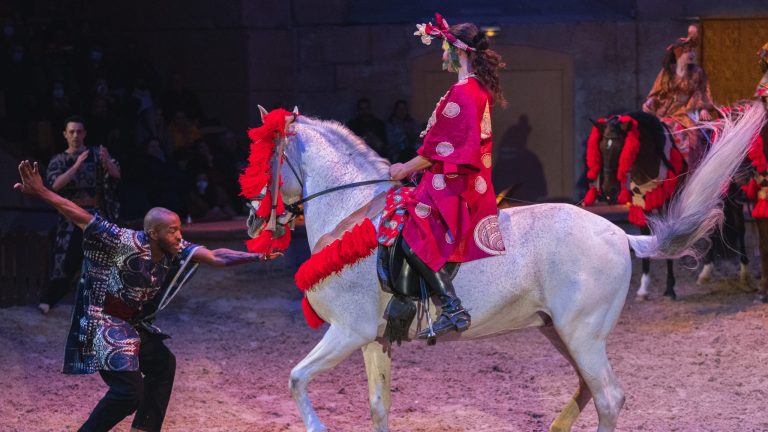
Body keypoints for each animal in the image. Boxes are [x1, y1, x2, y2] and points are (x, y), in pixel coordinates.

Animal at [249, 103, 764, 430]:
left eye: (265, 160)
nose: (255, 217)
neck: (353, 212)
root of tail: (620, 234)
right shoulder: (374, 339)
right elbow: (378, 408)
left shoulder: (347, 331)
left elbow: (296, 379)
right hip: (562, 332)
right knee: (588, 391)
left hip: (583, 333)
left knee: (608, 398)